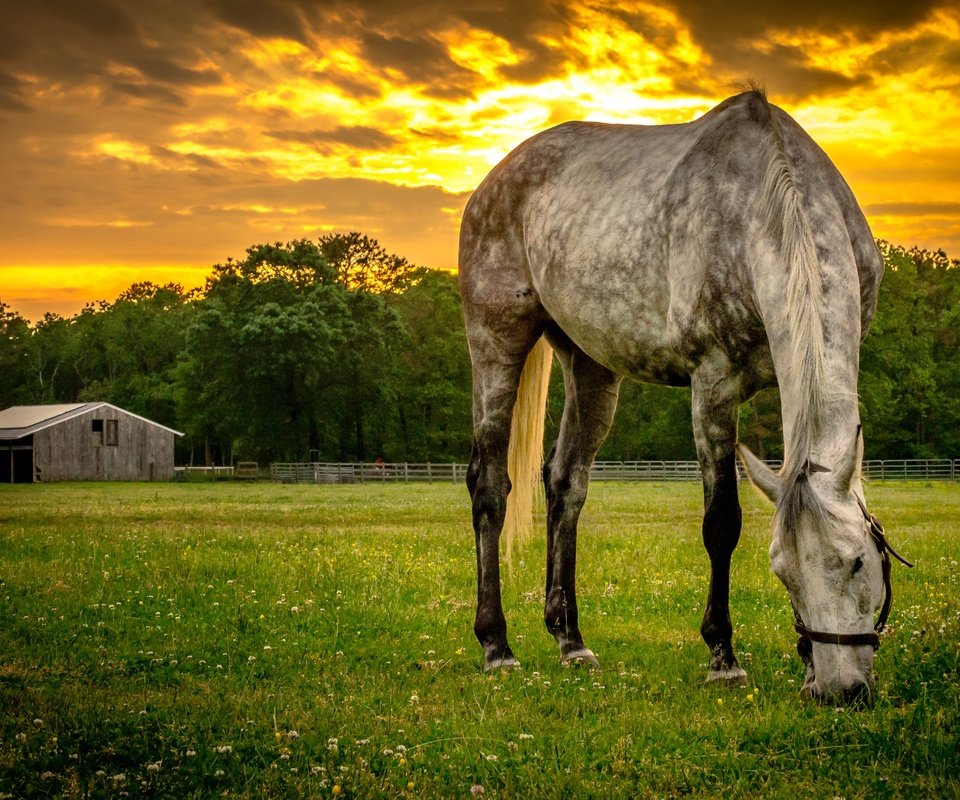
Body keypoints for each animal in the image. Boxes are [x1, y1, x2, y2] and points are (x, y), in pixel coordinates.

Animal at [458, 89, 908, 700]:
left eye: (860, 561)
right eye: (782, 572)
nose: (839, 691)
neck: (769, 199)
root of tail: (493, 181)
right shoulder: (713, 384)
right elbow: (721, 523)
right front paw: (723, 656)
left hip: (590, 366)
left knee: (565, 485)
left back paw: (570, 641)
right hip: (496, 344)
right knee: (489, 487)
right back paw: (496, 645)